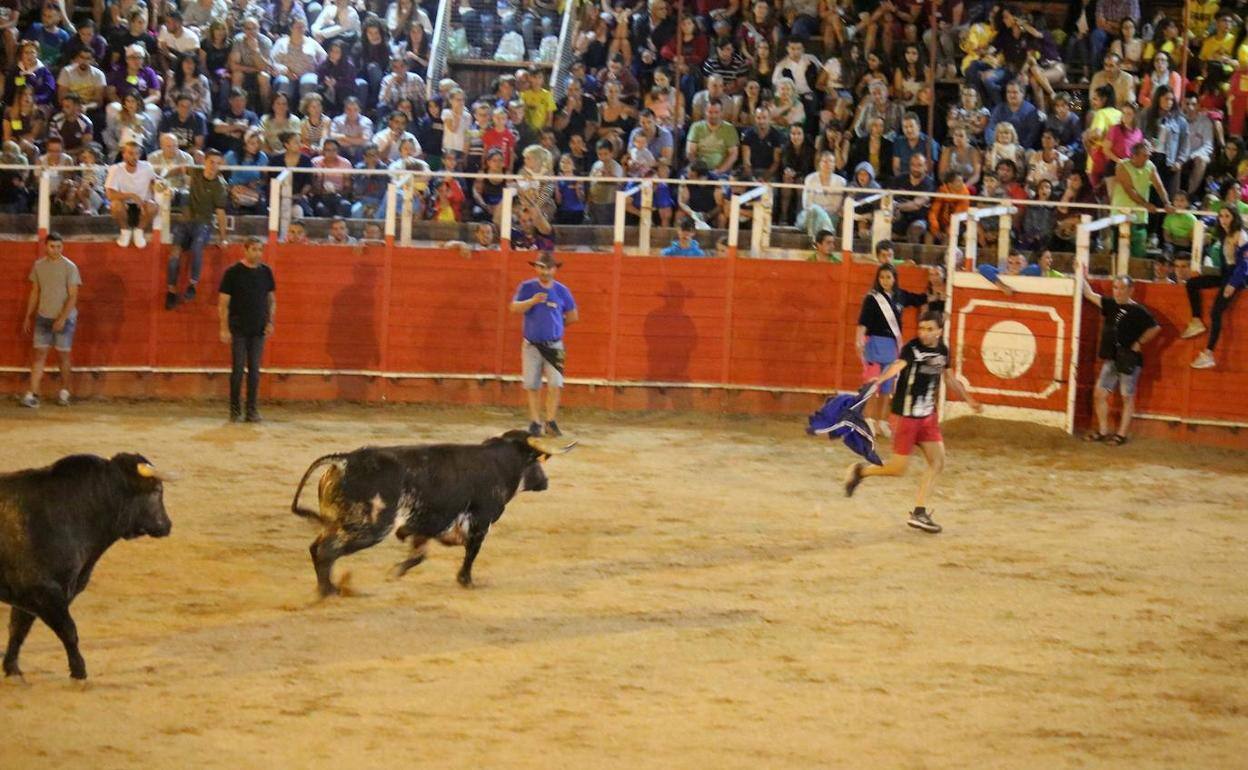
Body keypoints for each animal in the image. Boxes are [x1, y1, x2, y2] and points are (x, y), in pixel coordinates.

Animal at [0, 454, 172, 673]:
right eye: (157, 490)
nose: (167, 525)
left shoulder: (28, 597)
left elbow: (18, 630)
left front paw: (12, 668)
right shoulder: (43, 592)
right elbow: (69, 631)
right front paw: (79, 671)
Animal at [290, 429, 574, 596]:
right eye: (536, 460)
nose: (545, 481)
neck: (500, 462)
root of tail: (345, 459)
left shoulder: (424, 524)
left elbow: (419, 556)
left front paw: (395, 572)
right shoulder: (480, 522)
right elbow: (471, 553)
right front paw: (466, 581)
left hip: (338, 523)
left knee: (317, 548)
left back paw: (329, 587)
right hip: (369, 527)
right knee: (326, 551)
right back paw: (329, 591)